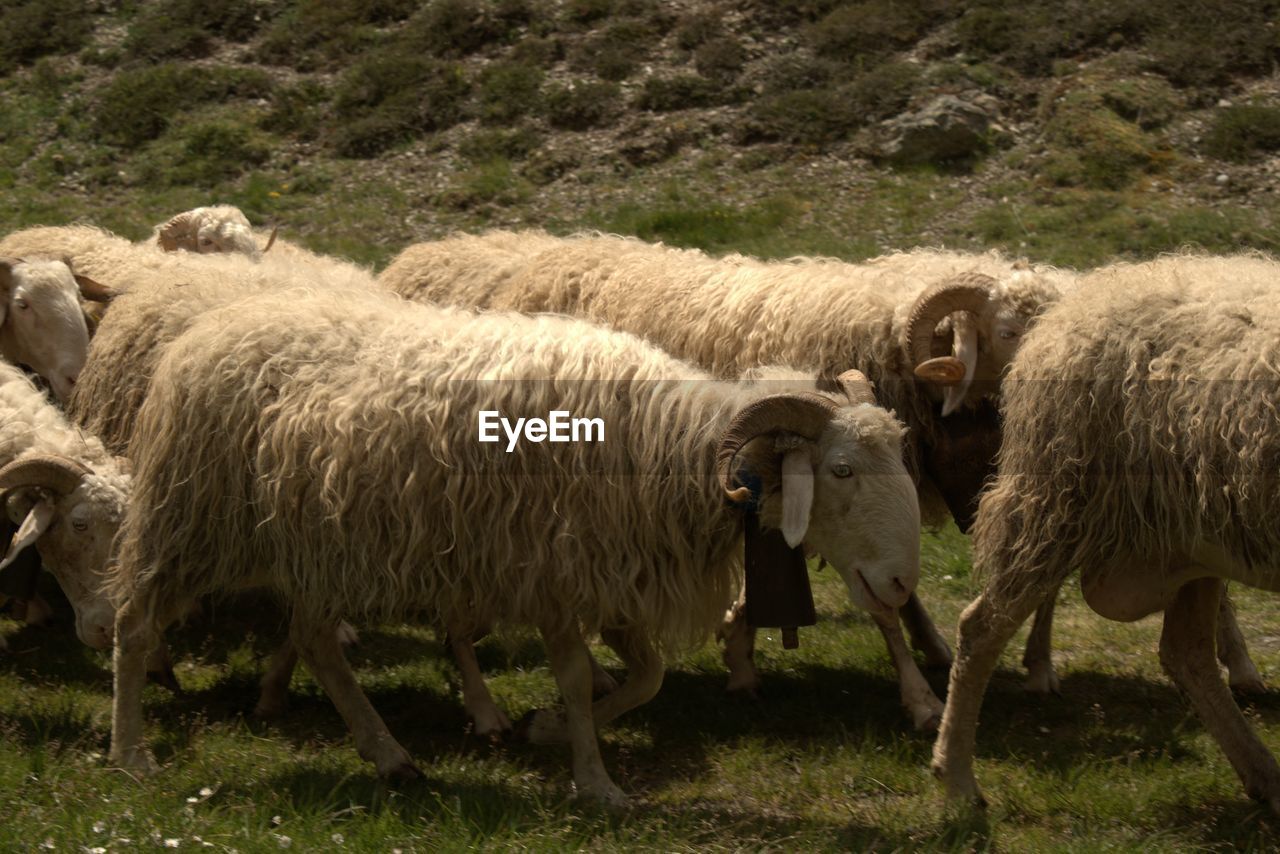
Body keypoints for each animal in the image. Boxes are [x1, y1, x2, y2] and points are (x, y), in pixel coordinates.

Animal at [104, 284, 921, 804]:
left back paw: (391, 757)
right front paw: (596, 782)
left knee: (315, 641)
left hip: (317, 547)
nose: (901, 586)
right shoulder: (558, 570)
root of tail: (205, 332)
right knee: (135, 623)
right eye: (841, 470)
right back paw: (130, 754)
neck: (666, 448)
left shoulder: (612, 573)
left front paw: (547, 730)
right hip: (192, 519)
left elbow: (646, 677)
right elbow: (579, 676)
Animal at [931, 253, 1280, 814]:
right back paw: (959, 780)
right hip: (1057, 499)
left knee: (1187, 654)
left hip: (1195, 545)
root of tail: (1075, 307)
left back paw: (1265, 778)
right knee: (981, 627)